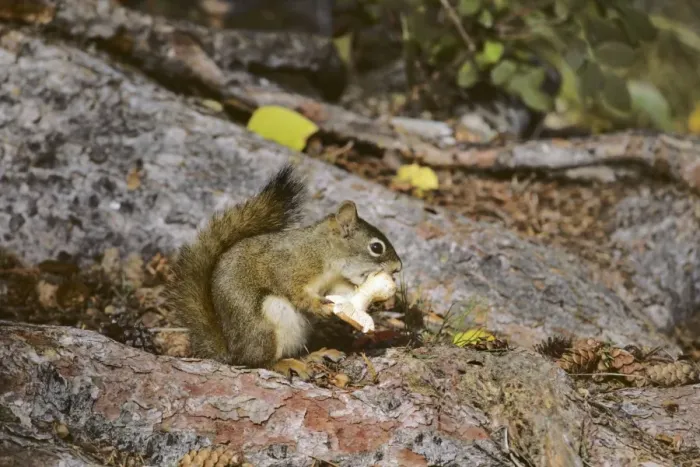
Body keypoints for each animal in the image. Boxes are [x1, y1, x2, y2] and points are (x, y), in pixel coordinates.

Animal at [169, 163, 402, 379]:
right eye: (376, 247)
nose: (398, 268)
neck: (325, 253)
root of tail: (231, 351)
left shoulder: (335, 283)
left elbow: (345, 295)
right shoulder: (290, 267)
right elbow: (295, 291)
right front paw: (320, 307)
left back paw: (314, 355)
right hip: (265, 327)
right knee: (259, 362)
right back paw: (285, 364)